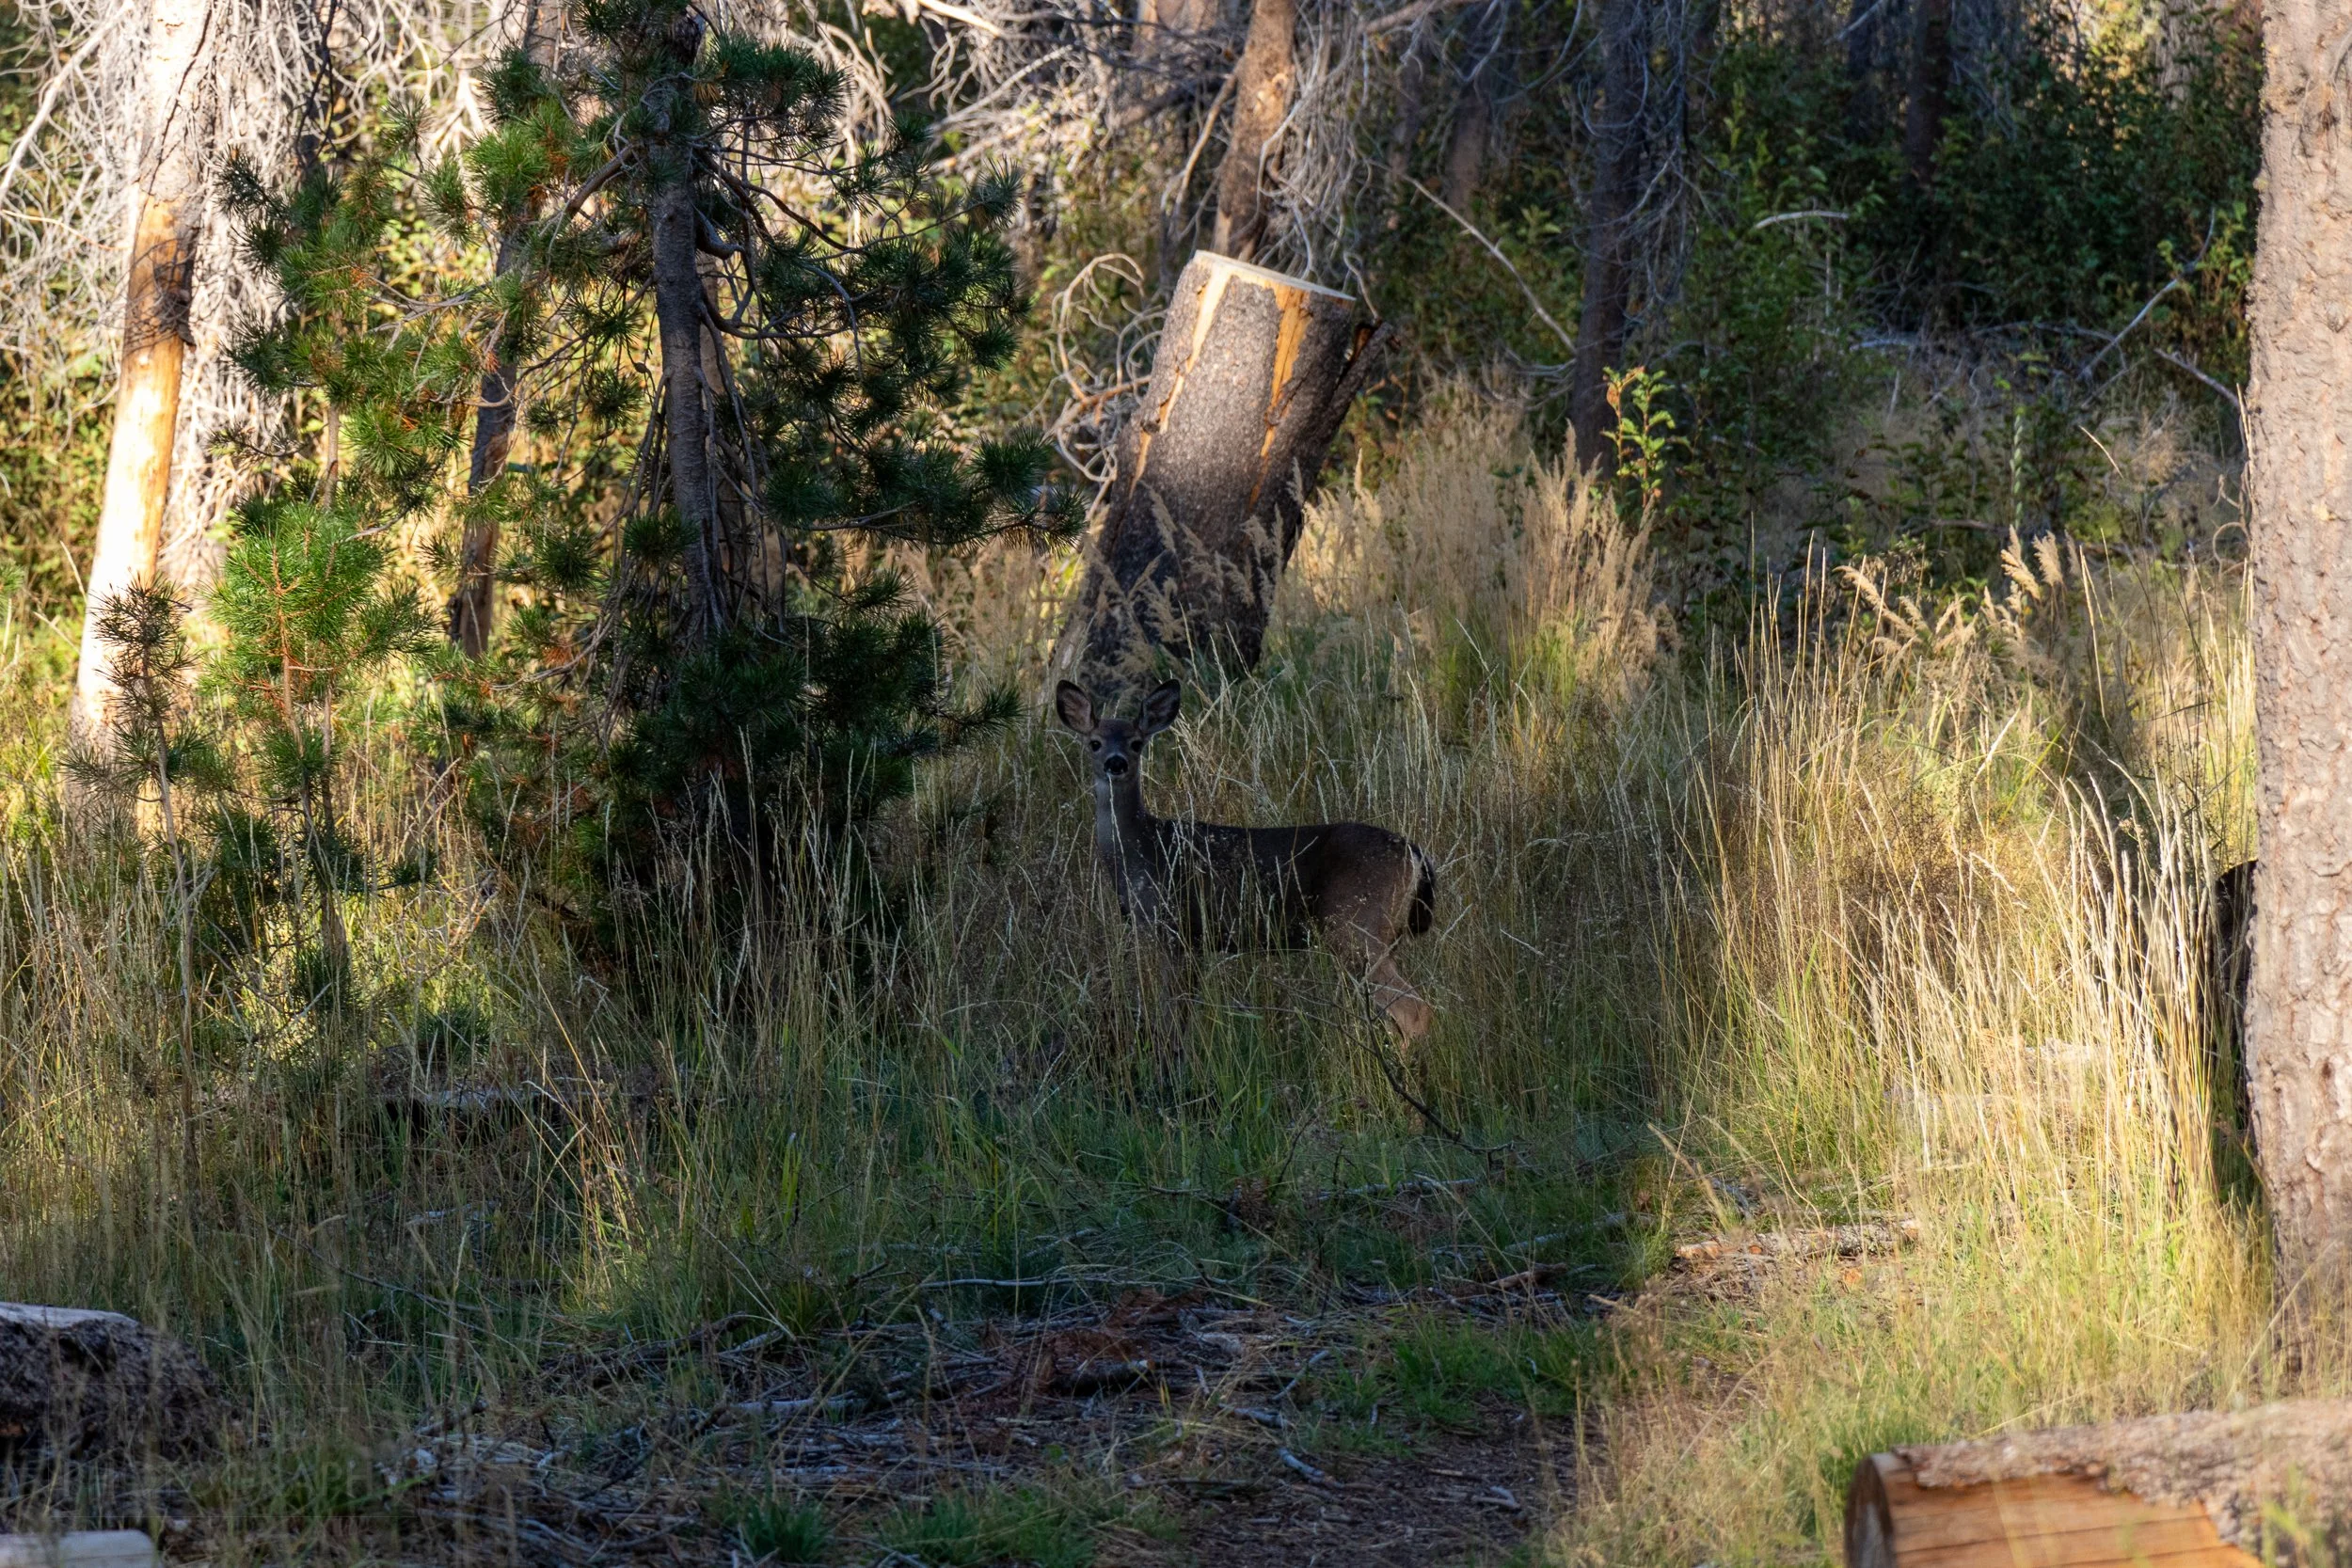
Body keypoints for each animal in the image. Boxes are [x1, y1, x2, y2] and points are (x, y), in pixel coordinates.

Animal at [1055, 678, 1438, 1043]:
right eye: (1094, 742)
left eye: (1136, 743)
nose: (1115, 762)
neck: (1141, 852)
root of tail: (1415, 853)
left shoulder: (1177, 929)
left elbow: (1172, 1021)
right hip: (1380, 934)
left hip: (1356, 926)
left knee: (1415, 1011)